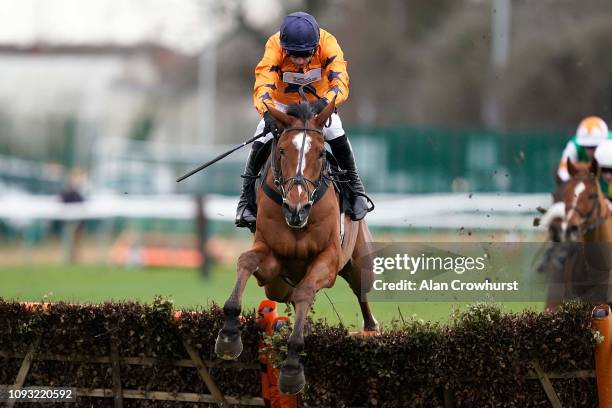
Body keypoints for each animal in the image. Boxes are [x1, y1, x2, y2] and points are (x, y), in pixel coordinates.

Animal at [215, 97, 378, 394]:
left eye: (321, 154)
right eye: (281, 151)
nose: (296, 208)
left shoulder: (328, 260)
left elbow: (305, 292)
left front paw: (292, 366)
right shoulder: (272, 259)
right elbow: (246, 261)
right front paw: (229, 334)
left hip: (360, 263)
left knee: (361, 291)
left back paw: (371, 329)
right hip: (277, 287)